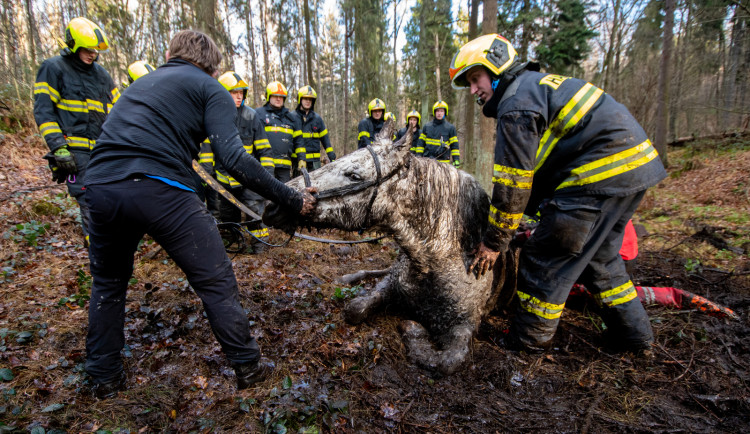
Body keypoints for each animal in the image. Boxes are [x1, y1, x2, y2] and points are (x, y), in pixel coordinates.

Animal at [262, 121, 516, 372]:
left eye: (354, 175)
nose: (274, 202)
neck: (439, 258)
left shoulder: (465, 326)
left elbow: (445, 362)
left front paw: (414, 328)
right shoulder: (389, 286)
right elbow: (355, 308)